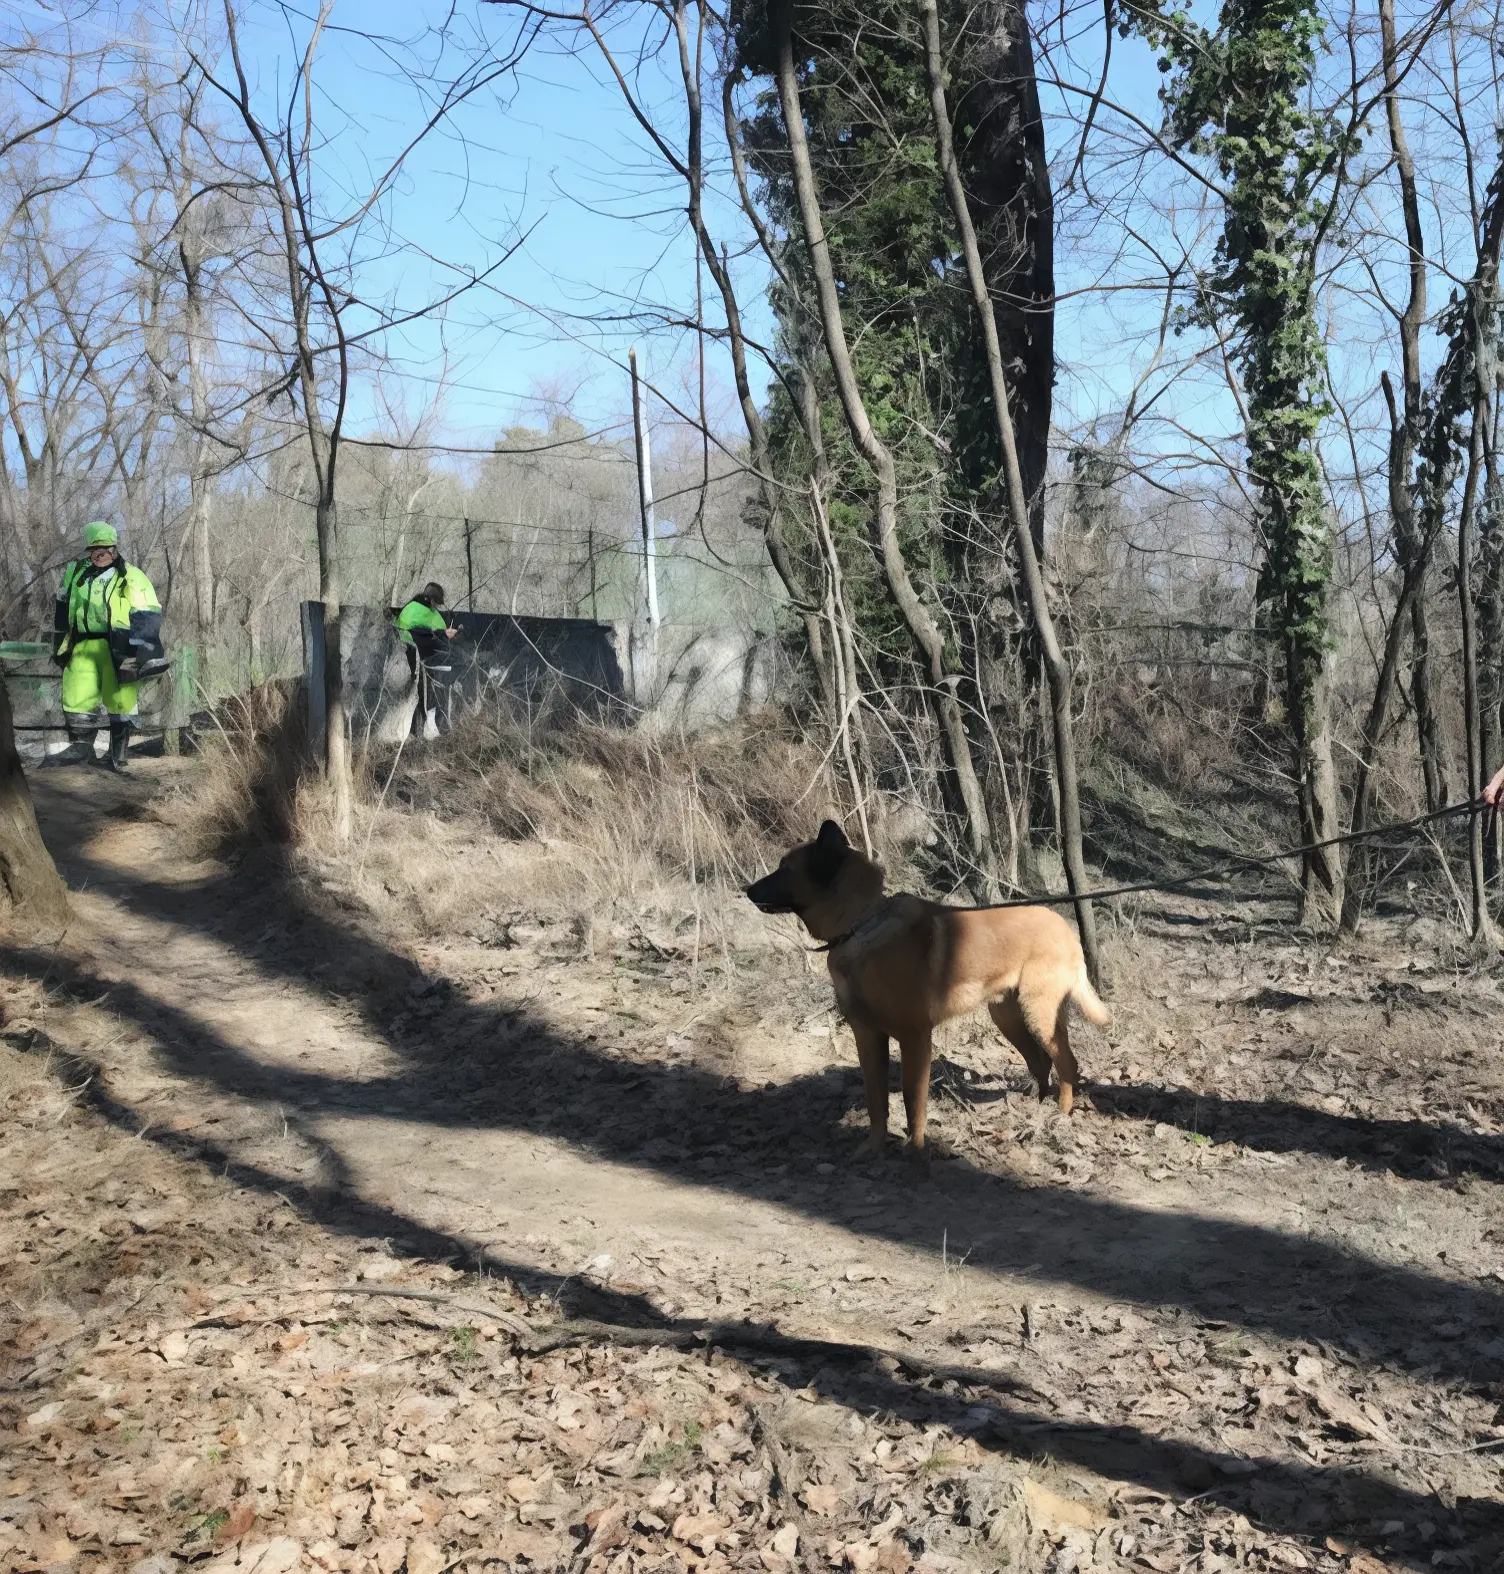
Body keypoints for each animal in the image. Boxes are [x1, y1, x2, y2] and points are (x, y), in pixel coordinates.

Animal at [745, 824, 1107, 1158]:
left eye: (786, 868)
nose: (746, 890)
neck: (861, 924)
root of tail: (1063, 926)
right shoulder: (868, 1038)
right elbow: (875, 1101)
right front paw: (875, 1147)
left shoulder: (914, 1038)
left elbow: (912, 1101)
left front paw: (916, 1152)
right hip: (1009, 1017)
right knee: (1040, 1062)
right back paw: (1033, 1108)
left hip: (1038, 1013)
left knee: (1066, 1062)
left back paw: (1060, 1115)